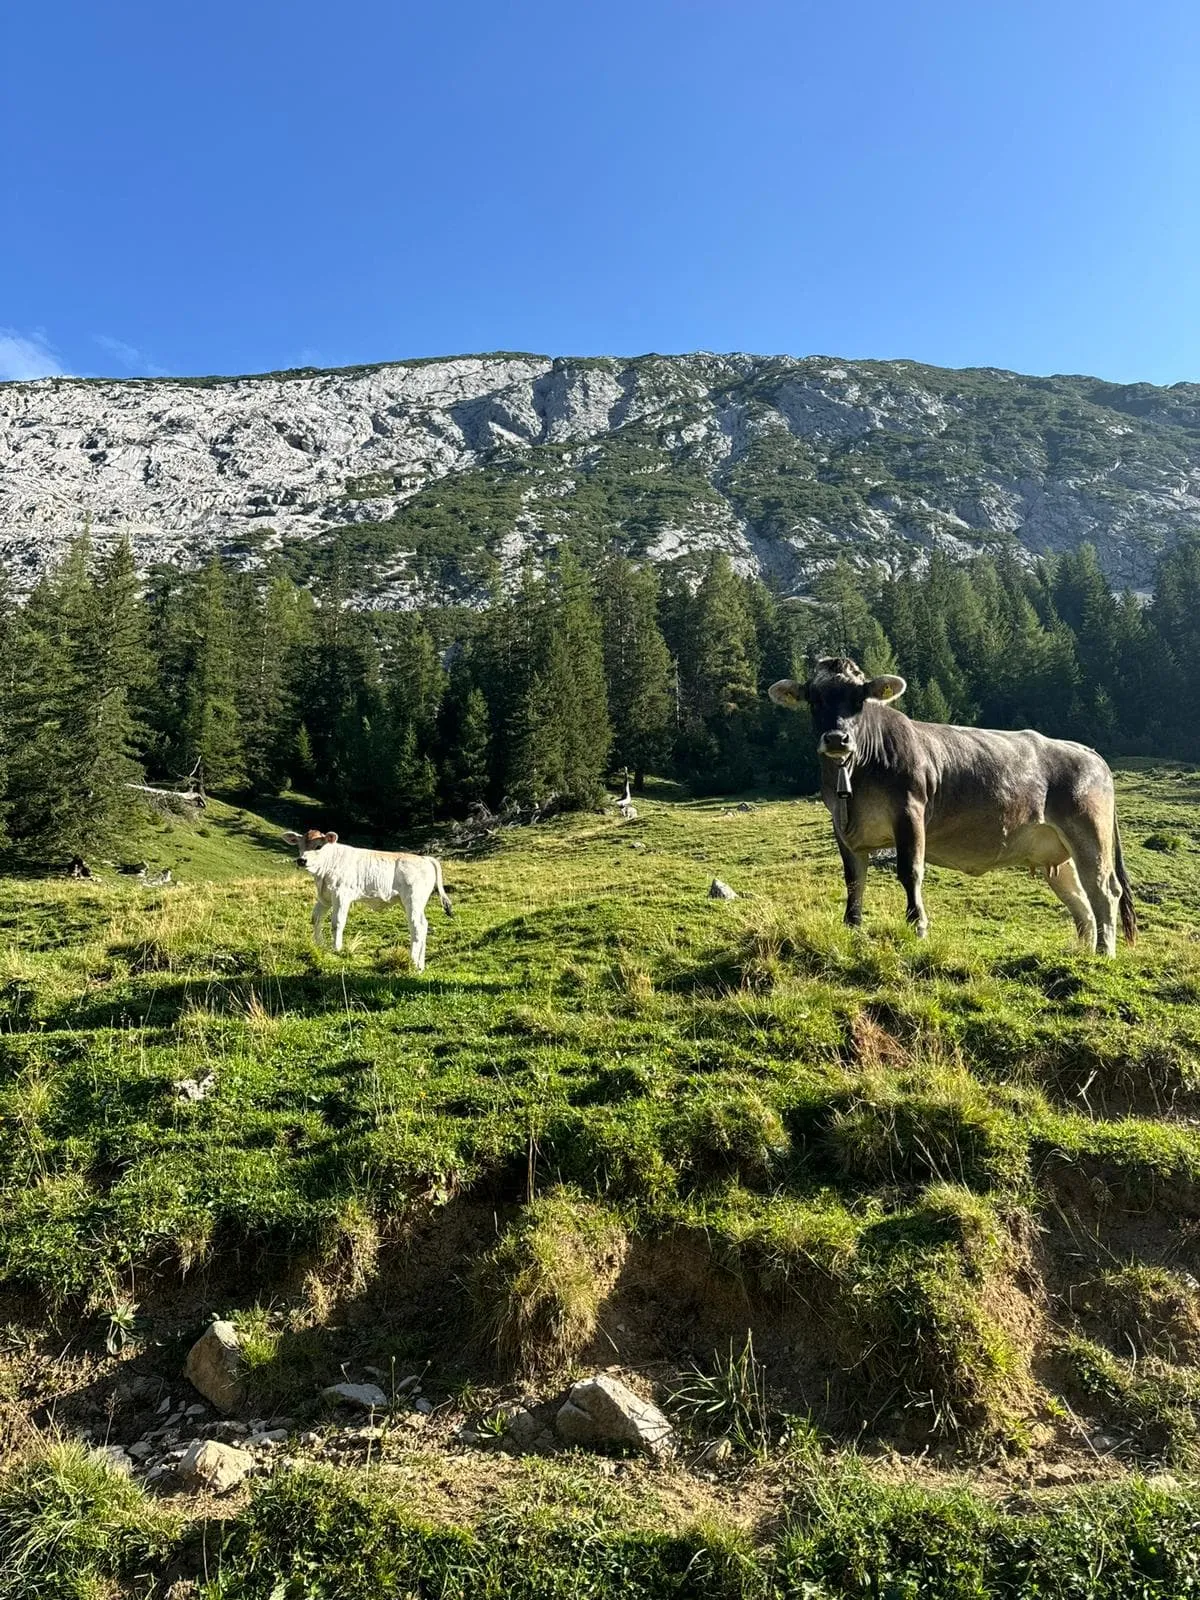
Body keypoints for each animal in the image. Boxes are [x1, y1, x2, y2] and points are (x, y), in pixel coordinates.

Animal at [286, 832, 454, 966]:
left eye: (319, 846)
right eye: (299, 845)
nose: (301, 860)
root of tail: (425, 858)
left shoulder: (341, 894)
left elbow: (337, 922)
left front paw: (337, 949)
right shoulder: (324, 898)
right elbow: (316, 919)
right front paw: (319, 945)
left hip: (413, 900)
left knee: (417, 927)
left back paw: (412, 961)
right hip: (412, 903)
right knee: (424, 925)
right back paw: (420, 965)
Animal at [771, 656, 1139, 953]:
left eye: (859, 698)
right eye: (814, 699)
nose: (837, 739)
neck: (856, 776)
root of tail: (1087, 751)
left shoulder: (910, 813)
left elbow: (910, 871)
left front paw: (917, 927)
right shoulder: (843, 827)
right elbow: (853, 880)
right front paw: (852, 929)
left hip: (1089, 831)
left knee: (1104, 890)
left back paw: (1104, 953)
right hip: (1056, 852)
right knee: (1081, 902)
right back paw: (1082, 953)